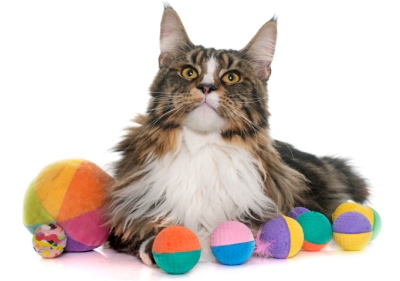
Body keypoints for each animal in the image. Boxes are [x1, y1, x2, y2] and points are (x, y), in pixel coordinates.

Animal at [104, 5, 370, 264]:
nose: (206, 87)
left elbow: (239, 231)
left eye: (231, 77)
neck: (203, 146)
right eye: (189, 72)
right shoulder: (123, 219)